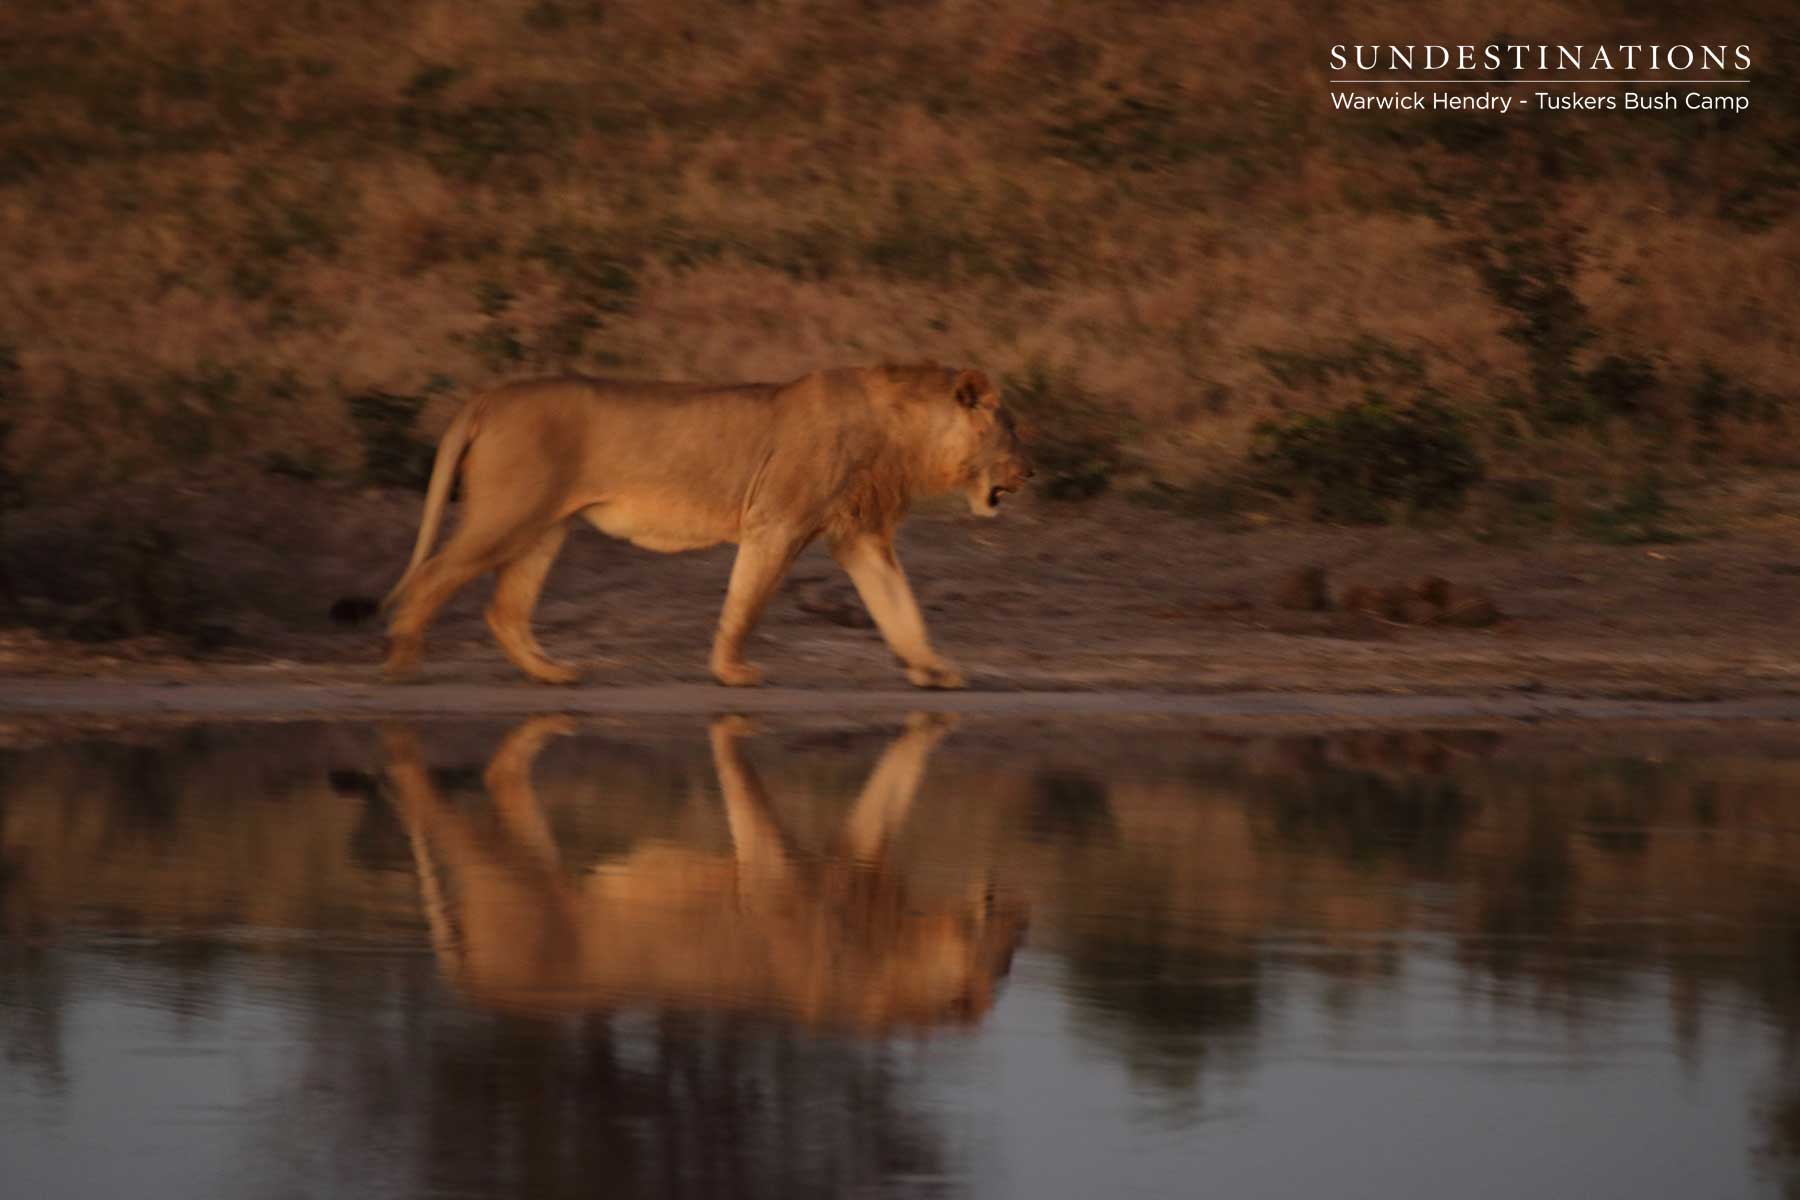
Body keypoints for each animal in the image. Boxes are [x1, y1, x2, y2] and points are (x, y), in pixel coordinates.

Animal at [382, 365, 1032, 687]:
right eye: (1011, 428)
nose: (1031, 471)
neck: (904, 439)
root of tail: (488, 396)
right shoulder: (778, 522)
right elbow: (746, 601)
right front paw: (731, 673)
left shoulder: (861, 536)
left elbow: (900, 608)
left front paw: (934, 670)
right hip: (509, 512)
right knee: (434, 574)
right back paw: (402, 660)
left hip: (545, 525)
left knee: (505, 609)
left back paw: (552, 673)